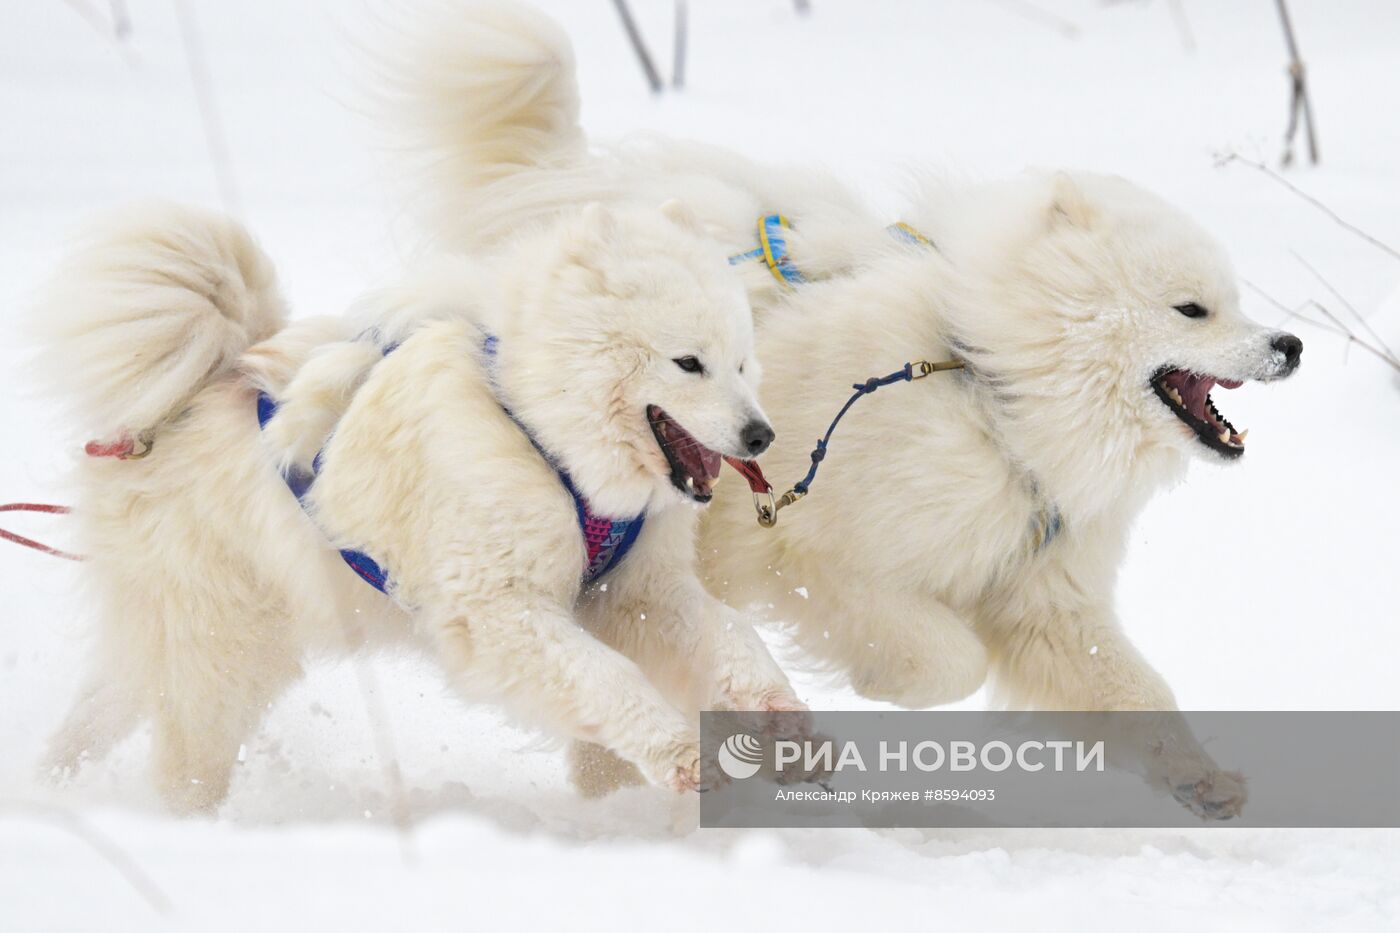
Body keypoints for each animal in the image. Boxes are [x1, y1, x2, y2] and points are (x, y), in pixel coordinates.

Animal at [35, 200, 800, 812]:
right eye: (688, 363)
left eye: (742, 362)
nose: (762, 434)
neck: (540, 434)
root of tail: (182, 400)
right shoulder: (497, 613)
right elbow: (605, 677)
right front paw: (680, 753)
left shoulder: (634, 591)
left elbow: (730, 633)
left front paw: (777, 712)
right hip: (222, 650)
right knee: (185, 756)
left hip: (185, 637)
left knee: (103, 709)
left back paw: (51, 785)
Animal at [366, 0, 1304, 812]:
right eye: (1192, 309)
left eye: (1237, 301)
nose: (1290, 344)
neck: (989, 389)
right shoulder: (823, 556)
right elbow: (952, 657)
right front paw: (882, 681)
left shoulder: (1044, 590)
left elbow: (1136, 688)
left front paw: (1204, 780)